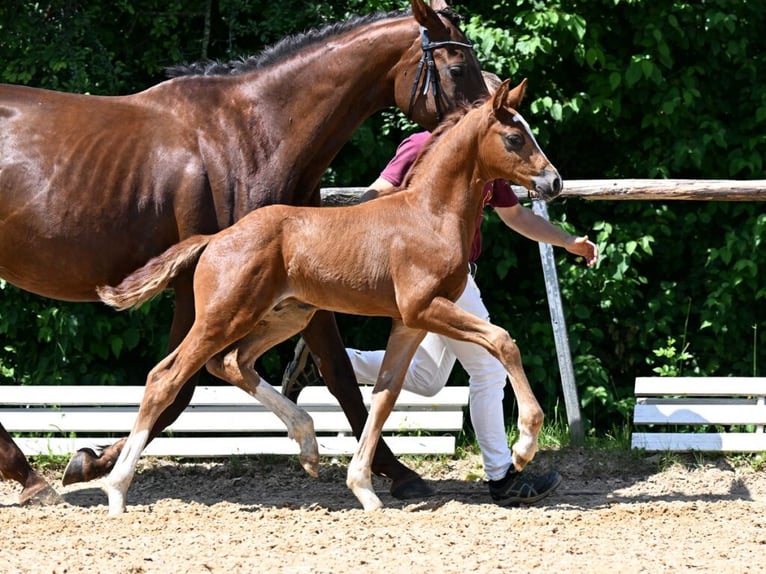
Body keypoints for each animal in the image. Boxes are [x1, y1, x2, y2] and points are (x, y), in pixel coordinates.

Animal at [0, 0, 488, 506]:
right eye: (457, 67)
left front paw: (390, 470)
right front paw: (94, 464)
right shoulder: (201, 289)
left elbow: (338, 374)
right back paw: (32, 479)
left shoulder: (300, 285)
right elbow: (179, 387)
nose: (487, 117)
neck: (256, 134)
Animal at [96, 78, 562, 513]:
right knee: (166, 376)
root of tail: (214, 239)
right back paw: (117, 489)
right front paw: (524, 447)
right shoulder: (425, 308)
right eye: (514, 138)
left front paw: (364, 489)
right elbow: (503, 340)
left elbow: (384, 396)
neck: (428, 215)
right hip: (224, 316)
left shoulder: (409, 323)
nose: (554, 181)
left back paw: (308, 445)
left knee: (232, 362)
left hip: (285, 316)